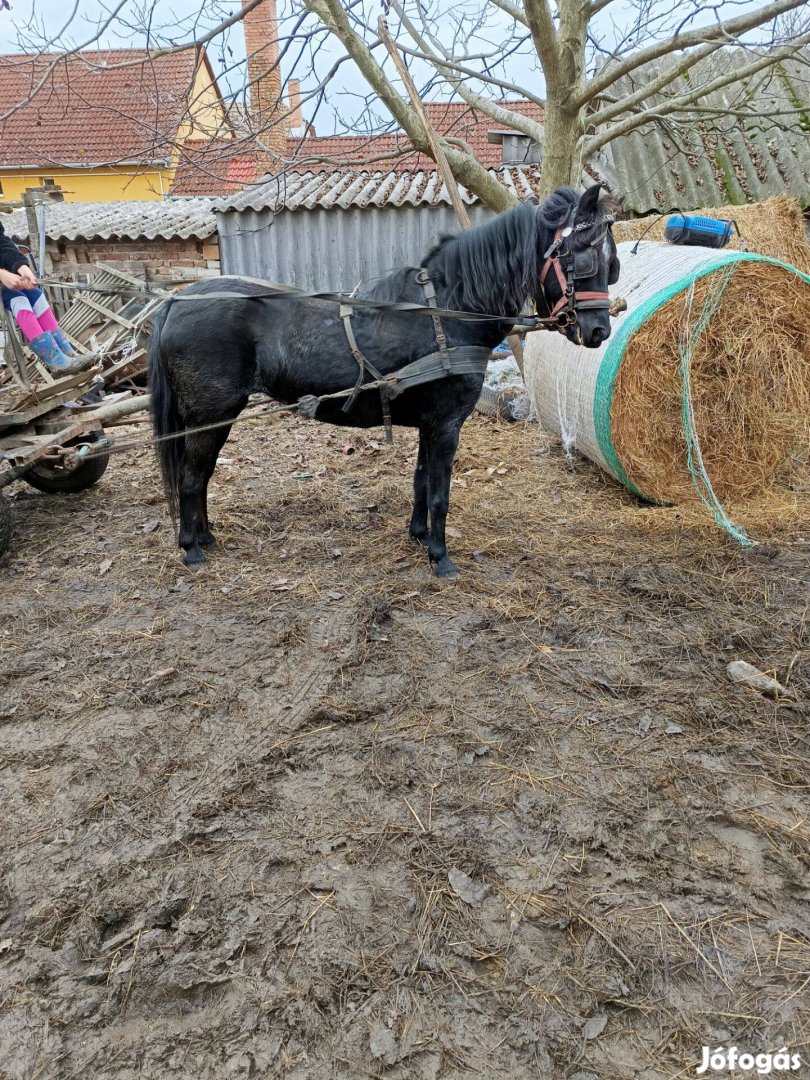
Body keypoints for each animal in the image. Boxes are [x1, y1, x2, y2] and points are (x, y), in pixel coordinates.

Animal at [152, 183, 617, 574]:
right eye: (587, 258)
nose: (599, 331)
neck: (448, 313)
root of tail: (177, 300)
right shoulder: (446, 425)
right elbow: (440, 493)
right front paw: (441, 558)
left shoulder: (430, 424)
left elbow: (421, 481)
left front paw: (420, 537)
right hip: (211, 414)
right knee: (191, 477)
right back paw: (191, 549)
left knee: (202, 475)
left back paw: (206, 538)